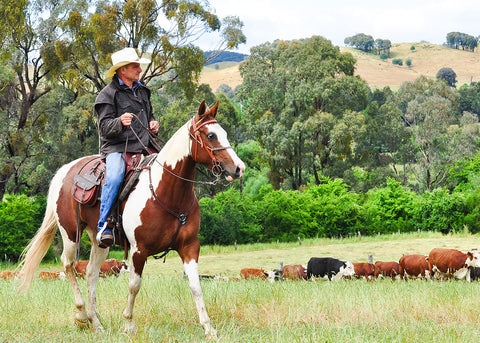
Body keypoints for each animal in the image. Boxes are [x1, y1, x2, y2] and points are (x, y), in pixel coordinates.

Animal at [16, 101, 246, 340]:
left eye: (224, 133)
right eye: (211, 135)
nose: (239, 168)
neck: (167, 193)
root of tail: (65, 171)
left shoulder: (190, 246)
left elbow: (195, 286)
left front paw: (209, 329)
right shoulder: (138, 250)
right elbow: (134, 285)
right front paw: (128, 325)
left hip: (99, 240)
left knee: (91, 273)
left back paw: (96, 323)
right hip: (70, 233)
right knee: (68, 264)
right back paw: (81, 316)